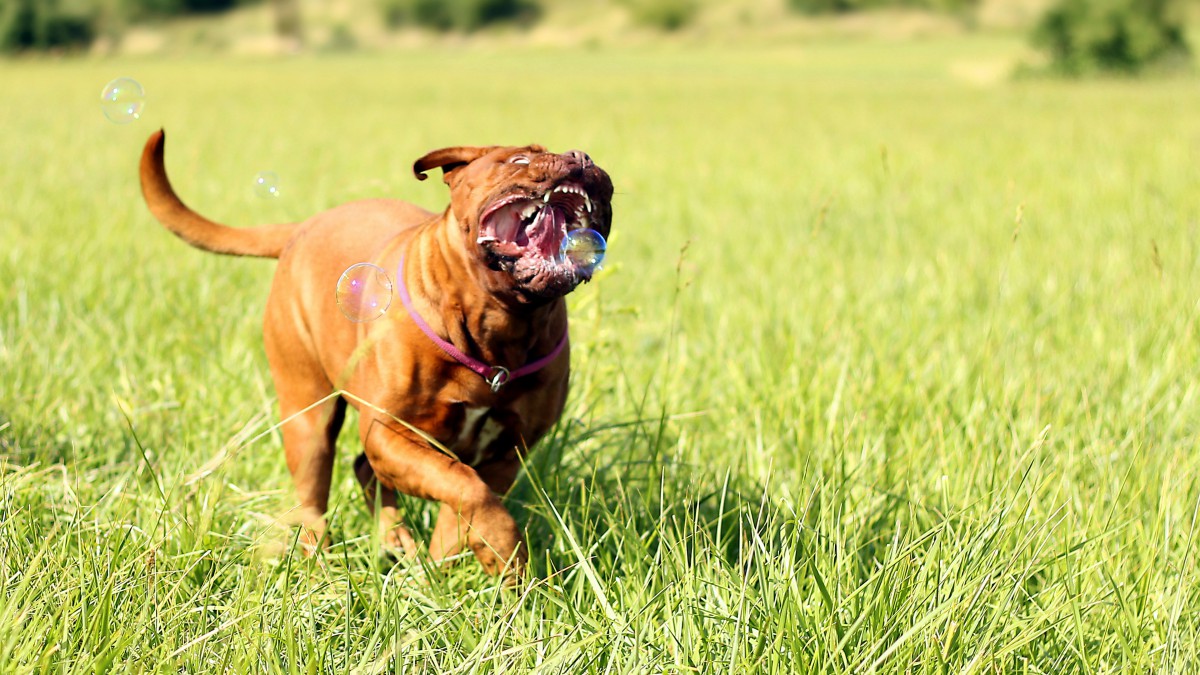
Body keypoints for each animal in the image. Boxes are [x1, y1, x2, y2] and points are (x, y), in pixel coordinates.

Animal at [137, 128, 614, 576]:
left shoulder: (507, 452)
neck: (502, 322)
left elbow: (464, 500)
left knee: (365, 471)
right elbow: (464, 486)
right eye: (517, 160)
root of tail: (303, 227)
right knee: (313, 495)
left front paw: (451, 561)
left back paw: (397, 542)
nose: (582, 157)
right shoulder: (390, 433)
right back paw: (323, 565)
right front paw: (500, 547)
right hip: (309, 416)